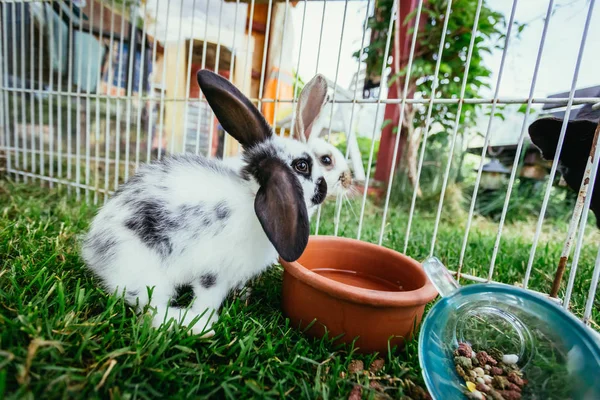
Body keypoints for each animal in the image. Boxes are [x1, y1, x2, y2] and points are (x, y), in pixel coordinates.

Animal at [81, 69, 328, 338]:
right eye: (302, 166)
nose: (324, 188)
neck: (251, 196)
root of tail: (93, 250)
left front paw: (243, 296)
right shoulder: (213, 273)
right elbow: (207, 298)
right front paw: (205, 318)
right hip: (146, 272)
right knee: (150, 308)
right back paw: (192, 325)